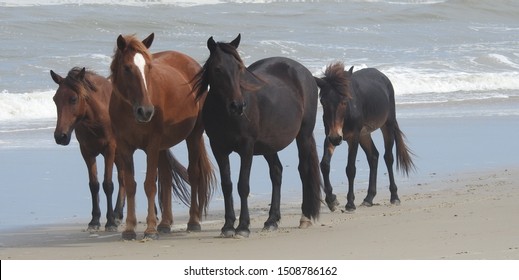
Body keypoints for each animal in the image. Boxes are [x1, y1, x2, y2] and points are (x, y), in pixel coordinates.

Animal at [50, 66, 125, 231]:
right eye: (55, 99)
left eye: (73, 99)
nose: (60, 136)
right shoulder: (86, 151)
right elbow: (94, 185)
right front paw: (95, 220)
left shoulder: (110, 149)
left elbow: (107, 184)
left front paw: (110, 221)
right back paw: (118, 214)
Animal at [109, 33, 215, 241]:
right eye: (127, 68)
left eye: (148, 68)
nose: (146, 111)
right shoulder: (125, 146)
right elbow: (131, 184)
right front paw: (129, 228)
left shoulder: (152, 143)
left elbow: (150, 184)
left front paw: (150, 229)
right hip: (164, 146)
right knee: (166, 177)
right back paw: (165, 223)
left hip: (193, 136)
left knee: (194, 174)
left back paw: (193, 221)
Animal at [193, 34, 322, 237]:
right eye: (218, 69)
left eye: (239, 68)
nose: (237, 106)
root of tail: (304, 72)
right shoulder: (218, 148)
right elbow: (227, 185)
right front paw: (228, 226)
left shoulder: (247, 147)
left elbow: (243, 185)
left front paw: (243, 227)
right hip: (269, 146)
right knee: (276, 172)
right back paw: (271, 220)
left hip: (304, 135)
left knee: (304, 169)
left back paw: (305, 217)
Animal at [314, 62, 416, 212]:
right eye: (322, 101)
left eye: (344, 101)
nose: (336, 138)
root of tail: (383, 76)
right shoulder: (330, 135)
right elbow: (324, 165)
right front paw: (332, 200)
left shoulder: (353, 138)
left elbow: (350, 169)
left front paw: (350, 203)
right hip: (364, 134)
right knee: (373, 156)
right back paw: (369, 198)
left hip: (387, 125)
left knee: (388, 158)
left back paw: (394, 197)